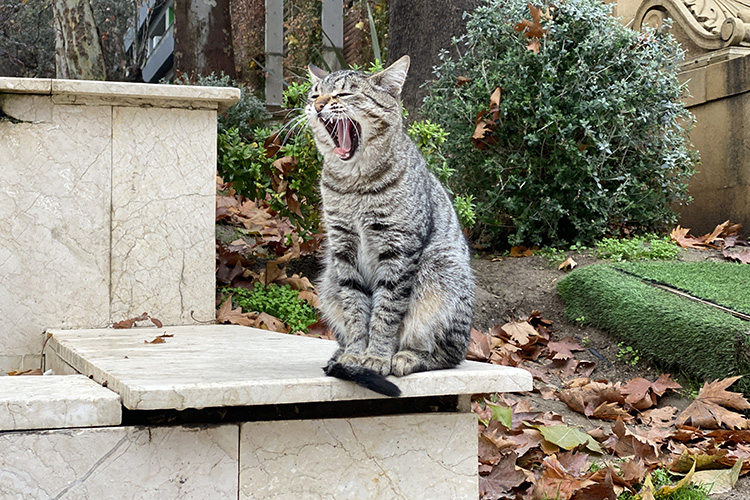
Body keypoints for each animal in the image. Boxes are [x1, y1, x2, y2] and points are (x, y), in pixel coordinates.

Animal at [302, 54, 472, 396]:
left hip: (441, 275)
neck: (354, 185)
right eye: (315, 94)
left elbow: (386, 311)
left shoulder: (399, 249)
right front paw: (356, 353)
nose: (317, 105)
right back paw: (340, 354)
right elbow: (355, 310)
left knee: (449, 354)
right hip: (328, 282)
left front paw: (377, 356)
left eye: (343, 93)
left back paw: (406, 356)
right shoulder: (343, 249)